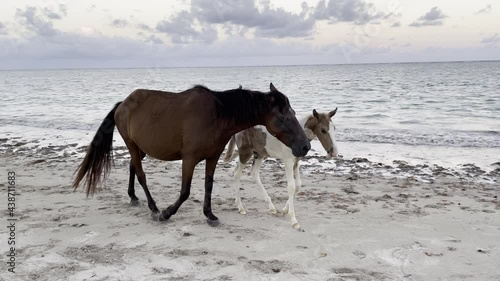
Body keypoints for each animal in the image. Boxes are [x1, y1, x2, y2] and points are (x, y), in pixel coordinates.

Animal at [72, 83, 310, 225]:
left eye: (294, 113)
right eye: (284, 118)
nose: (305, 146)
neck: (217, 116)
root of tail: (123, 103)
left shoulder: (212, 157)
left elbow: (208, 185)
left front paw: (210, 215)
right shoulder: (189, 159)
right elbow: (185, 191)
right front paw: (167, 213)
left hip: (141, 148)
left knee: (132, 166)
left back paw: (133, 197)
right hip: (131, 144)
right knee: (141, 174)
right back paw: (154, 208)